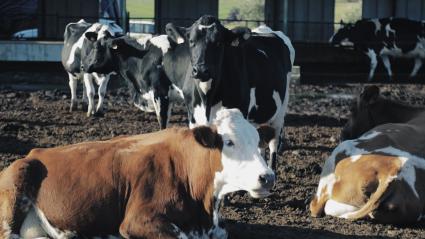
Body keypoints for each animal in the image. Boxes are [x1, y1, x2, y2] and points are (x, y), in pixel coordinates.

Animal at [0, 109, 274, 239]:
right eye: (229, 142)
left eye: (258, 141)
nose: (268, 177)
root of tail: (34, 153)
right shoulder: (137, 220)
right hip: (14, 191)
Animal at [166, 14, 294, 171]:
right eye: (191, 41)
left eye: (219, 43)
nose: (201, 70)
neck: (208, 98)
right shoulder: (194, 118)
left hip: (280, 112)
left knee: (273, 145)